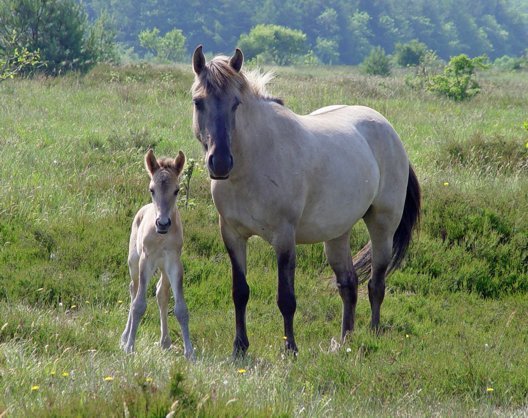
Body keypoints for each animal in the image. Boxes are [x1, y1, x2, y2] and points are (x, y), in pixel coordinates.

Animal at [120, 149, 194, 358]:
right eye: (151, 189)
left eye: (176, 190)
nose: (163, 223)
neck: (161, 237)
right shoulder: (146, 260)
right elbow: (138, 305)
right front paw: (130, 347)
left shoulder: (174, 262)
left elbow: (181, 308)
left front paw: (190, 352)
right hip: (134, 262)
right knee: (134, 289)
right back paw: (125, 337)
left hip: (163, 268)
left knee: (162, 292)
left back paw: (165, 342)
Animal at [192, 45, 418, 356]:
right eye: (198, 102)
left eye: (236, 103)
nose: (221, 163)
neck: (252, 164)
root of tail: (390, 131)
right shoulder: (232, 235)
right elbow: (240, 292)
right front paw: (240, 347)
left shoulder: (284, 237)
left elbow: (286, 298)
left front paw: (290, 349)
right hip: (337, 233)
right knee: (348, 284)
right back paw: (345, 341)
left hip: (383, 226)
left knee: (376, 283)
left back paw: (372, 334)